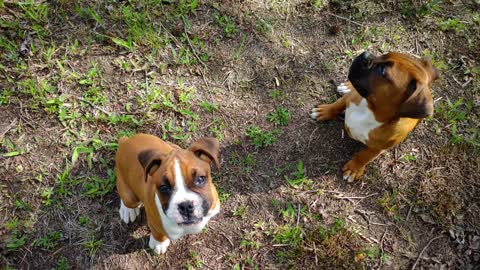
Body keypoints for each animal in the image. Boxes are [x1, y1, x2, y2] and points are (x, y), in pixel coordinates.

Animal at [312, 51, 438, 181]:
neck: (370, 109)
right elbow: (337, 104)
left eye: (382, 71)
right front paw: (325, 111)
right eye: (384, 54)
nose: (365, 54)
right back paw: (347, 87)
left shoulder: (377, 148)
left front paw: (354, 168)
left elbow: (364, 156)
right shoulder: (350, 98)